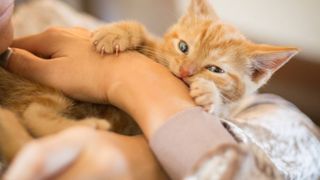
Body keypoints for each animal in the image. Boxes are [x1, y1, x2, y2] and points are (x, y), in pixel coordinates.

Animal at [92, 0, 298, 116]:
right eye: (183, 47)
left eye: (215, 70)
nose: (185, 71)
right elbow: (141, 31)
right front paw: (116, 33)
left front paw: (210, 95)